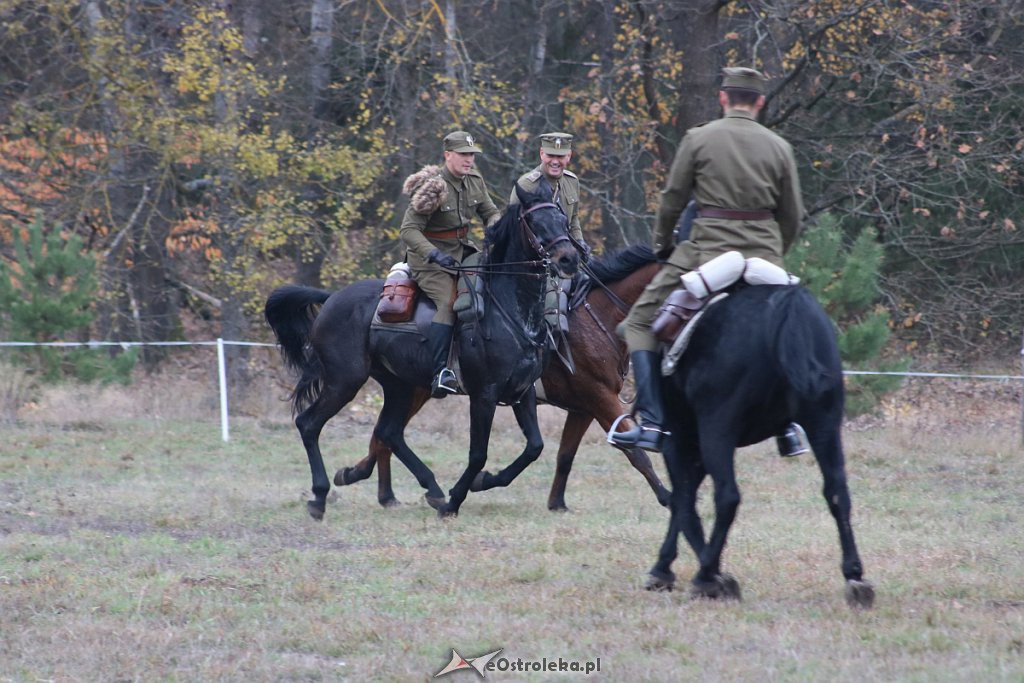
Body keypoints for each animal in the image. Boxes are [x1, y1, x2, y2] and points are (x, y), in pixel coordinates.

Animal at [331, 246, 675, 511]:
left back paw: (373, 485)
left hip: (411, 389)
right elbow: (636, 453)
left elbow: (565, 455)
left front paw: (556, 503)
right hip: (416, 390)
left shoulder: (584, 408)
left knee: (384, 433)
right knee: (386, 433)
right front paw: (667, 497)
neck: (599, 317)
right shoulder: (600, 399)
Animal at [647, 282, 872, 610]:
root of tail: (790, 304)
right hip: (824, 426)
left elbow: (682, 500)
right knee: (837, 493)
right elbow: (682, 500)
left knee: (727, 497)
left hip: (717, 429)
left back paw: (705, 575)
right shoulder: (694, 450)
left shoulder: (680, 441)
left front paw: (700, 572)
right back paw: (855, 576)